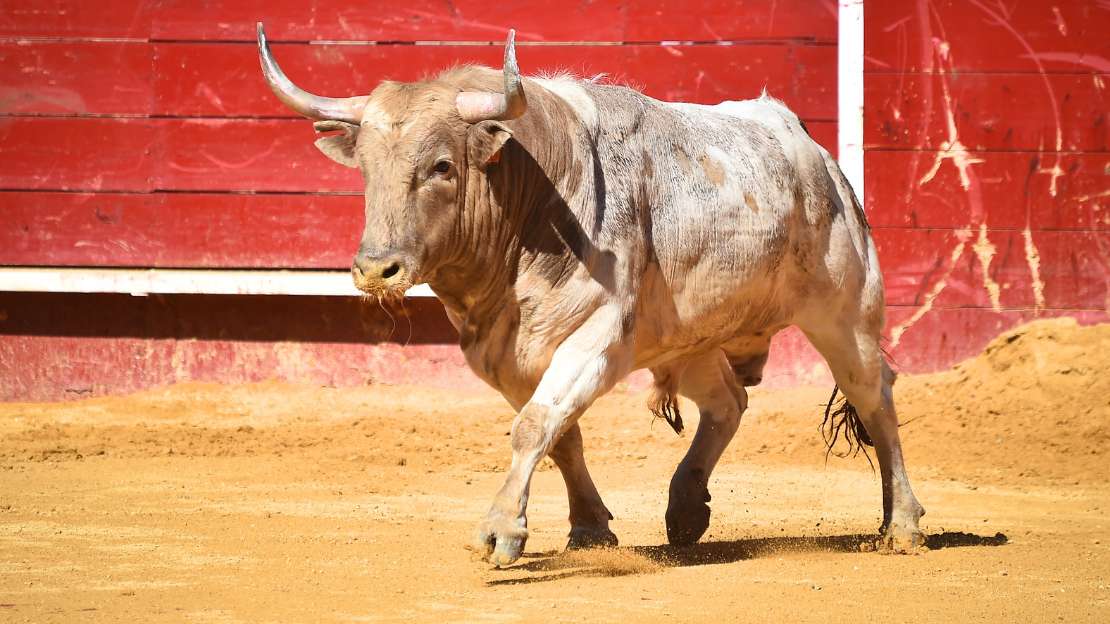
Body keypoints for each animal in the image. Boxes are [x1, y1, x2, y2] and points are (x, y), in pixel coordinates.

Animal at [257, 24, 926, 566]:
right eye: (366, 168)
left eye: (443, 165)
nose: (378, 269)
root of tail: (814, 153)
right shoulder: (503, 356)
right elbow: (559, 434)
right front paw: (589, 529)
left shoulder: (597, 338)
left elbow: (535, 425)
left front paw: (501, 530)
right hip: (688, 339)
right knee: (728, 402)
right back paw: (686, 510)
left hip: (845, 314)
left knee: (875, 398)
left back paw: (902, 524)